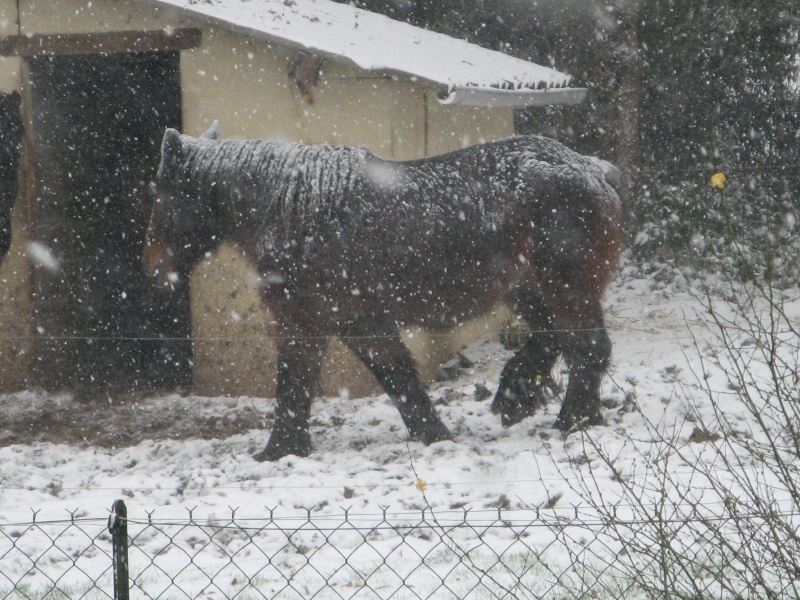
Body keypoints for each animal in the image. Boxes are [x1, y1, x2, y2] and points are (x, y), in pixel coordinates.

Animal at [145, 124, 624, 462]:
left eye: (161, 196)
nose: (153, 271)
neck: (292, 207)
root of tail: (593, 168)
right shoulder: (362, 325)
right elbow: (399, 380)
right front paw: (435, 435)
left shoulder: (305, 323)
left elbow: (294, 385)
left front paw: (278, 451)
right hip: (530, 292)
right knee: (555, 341)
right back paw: (520, 398)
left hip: (564, 289)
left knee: (587, 347)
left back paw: (571, 421)